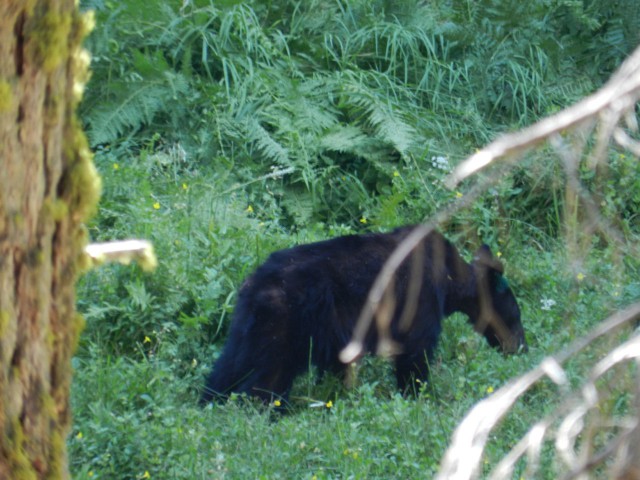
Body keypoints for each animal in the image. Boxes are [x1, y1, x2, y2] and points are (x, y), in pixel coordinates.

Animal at [201, 227, 524, 404]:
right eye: (516, 315)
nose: (522, 347)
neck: (449, 276)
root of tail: (255, 285)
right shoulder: (420, 301)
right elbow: (415, 351)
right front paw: (417, 393)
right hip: (283, 326)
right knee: (268, 378)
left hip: (248, 327)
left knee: (229, 366)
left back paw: (210, 400)